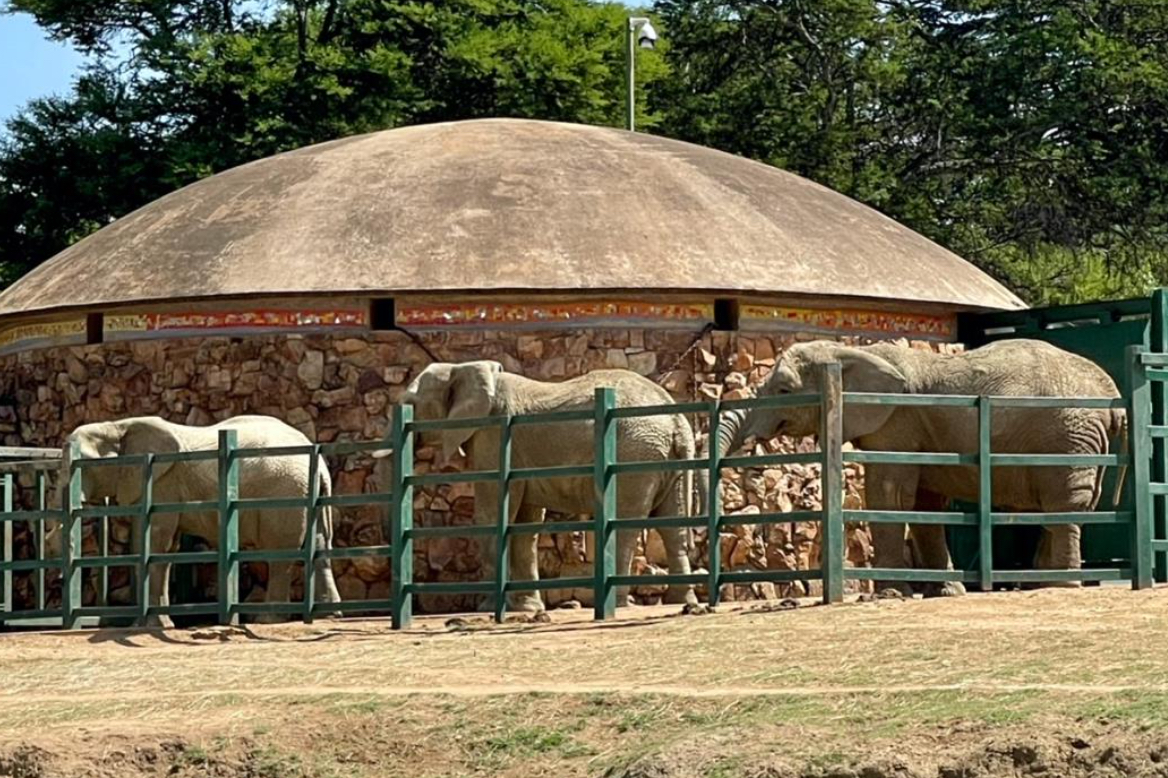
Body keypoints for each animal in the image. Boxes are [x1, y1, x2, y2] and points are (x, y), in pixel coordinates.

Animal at [48, 415, 342, 627]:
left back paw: (268, 620)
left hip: (283, 495)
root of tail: (320, 464)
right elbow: (167, 549)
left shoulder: (161, 483)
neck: (117, 426)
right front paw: (160, 624)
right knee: (320, 547)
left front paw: (150, 626)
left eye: (82, 464)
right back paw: (327, 615)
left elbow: (155, 543)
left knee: (280, 555)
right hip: (309, 494)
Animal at [389, 360, 698, 611]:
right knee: (673, 527)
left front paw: (487, 609)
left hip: (634, 452)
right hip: (665, 458)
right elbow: (526, 526)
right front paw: (528, 608)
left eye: (411, 403)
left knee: (625, 525)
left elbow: (492, 515)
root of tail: (676, 420)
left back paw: (619, 603)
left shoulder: (494, 438)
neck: (466, 368)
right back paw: (682, 601)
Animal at [711, 339, 1124, 597]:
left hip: (1070, 434)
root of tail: (1113, 396)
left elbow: (890, 493)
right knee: (1061, 507)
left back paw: (1061, 586)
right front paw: (946, 591)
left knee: (1065, 502)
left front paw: (892, 593)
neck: (853, 352)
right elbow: (925, 503)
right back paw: (1040, 584)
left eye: (784, 390)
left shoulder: (897, 420)